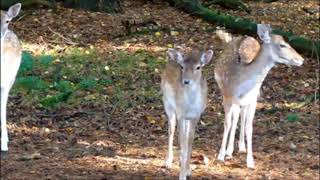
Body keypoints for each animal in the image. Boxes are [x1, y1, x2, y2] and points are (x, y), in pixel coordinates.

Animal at [162, 47, 212, 179]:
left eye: (198, 67)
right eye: (182, 66)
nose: (186, 81)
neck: (190, 105)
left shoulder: (196, 116)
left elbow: (189, 141)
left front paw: (188, 170)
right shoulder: (181, 114)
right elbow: (183, 142)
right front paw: (182, 175)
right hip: (168, 104)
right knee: (171, 130)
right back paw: (168, 161)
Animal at [214, 23, 304, 168]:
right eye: (282, 45)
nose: (301, 59)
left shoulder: (253, 101)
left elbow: (249, 127)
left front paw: (250, 161)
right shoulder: (227, 96)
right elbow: (227, 123)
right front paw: (221, 155)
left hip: (246, 101)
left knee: (241, 115)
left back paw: (241, 147)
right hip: (228, 95)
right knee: (235, 117)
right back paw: (229, 151)